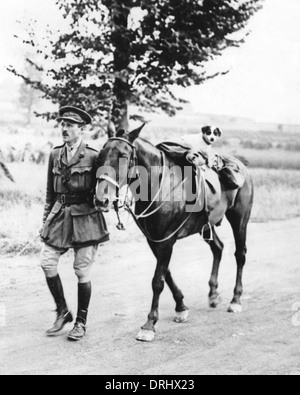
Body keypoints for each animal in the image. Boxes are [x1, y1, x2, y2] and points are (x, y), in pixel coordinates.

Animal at [96, 127, 253, 344]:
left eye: (124, 155)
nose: (101, 199)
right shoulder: (155, 240)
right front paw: (181, 307)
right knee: (218, 248)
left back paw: (236, 300)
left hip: (240, 220)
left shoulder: (166, 241)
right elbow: (167, 274)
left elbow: (157, 281)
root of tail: (242, 166)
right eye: (100, 155)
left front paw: (149, 324)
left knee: (240, 254)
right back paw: (213, 294)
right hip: (206, 226)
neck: (159, 185)